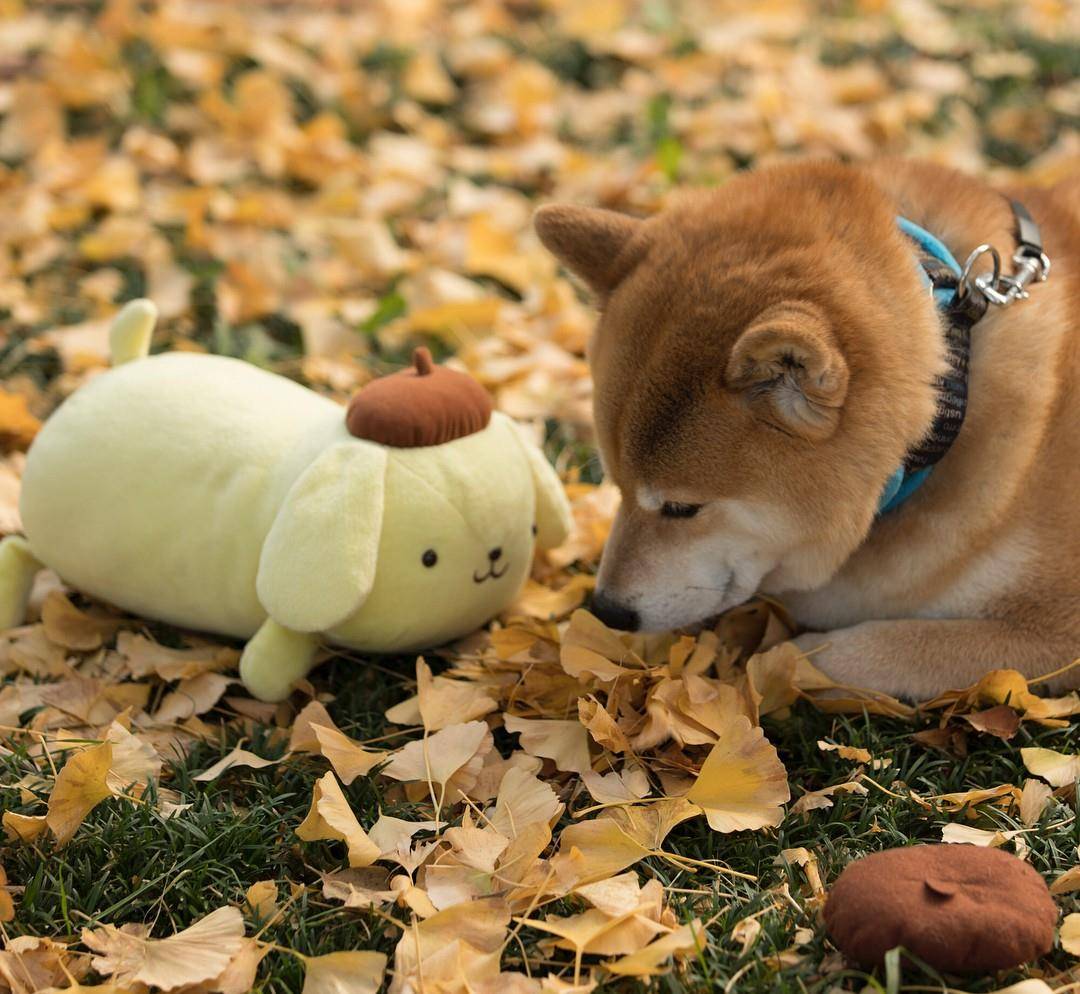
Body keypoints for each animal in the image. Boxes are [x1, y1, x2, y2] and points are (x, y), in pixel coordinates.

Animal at [537, 157, 1080, 700]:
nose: (606, 610)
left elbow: (874, 649)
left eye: (681, 508)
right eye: (616, 486)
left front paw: (784, 663)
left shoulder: (1057, 629)